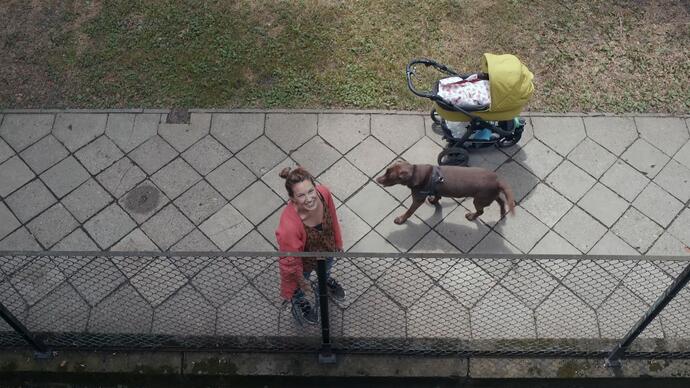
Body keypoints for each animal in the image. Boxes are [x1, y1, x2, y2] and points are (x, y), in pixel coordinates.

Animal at [374, 161, 512, 224]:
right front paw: (433, 200)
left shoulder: (417, 200)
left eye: (390, 176)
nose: (377, 179)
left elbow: (409, 211)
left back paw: (471, 216)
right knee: (501, 201)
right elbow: (437, 197)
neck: (416, 173)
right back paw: (502, 212)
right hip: (489, 196)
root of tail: (498, 181)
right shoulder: (436, 190)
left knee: (481, 211)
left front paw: (401, 219)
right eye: (386, 170)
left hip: (479, 200)